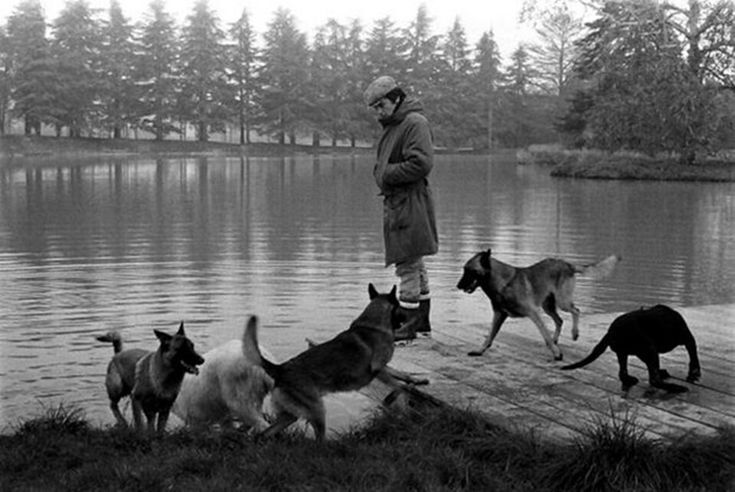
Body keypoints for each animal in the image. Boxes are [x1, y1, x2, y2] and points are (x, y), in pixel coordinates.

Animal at [244, 284, 428, 442]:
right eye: (400, 307)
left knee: (265, 434)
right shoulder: (378, 368)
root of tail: (280, 369)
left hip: (290, 415)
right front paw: (397, 397)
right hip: (317, 411)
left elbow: (403, 375)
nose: (414, 317)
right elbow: (399, 385)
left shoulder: (384, 368)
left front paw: (417, 380)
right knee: (318, 441)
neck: (374, 324)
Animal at [458, 250, 620, 358]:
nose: (458, 286)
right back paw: (556, 340)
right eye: (465, 270)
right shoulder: (499, 315)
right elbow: (489, 336)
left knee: (576, 311)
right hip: (548, 306)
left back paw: (574, 333)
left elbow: (545, 334)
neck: (504, 283)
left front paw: (556, 353)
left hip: (562, 302)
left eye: (470, 271)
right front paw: (480, 350)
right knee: (559, 320)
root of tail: (567, 264)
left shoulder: (533, 313)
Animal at [564, 304, 700, 392]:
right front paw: (695, 373)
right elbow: (694, 357)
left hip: (623, 353)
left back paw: (631, 379)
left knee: (623, 373)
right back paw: (675, 388)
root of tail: (611, 331)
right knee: (654, 380)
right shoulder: (688, 338)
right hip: (649, 349)